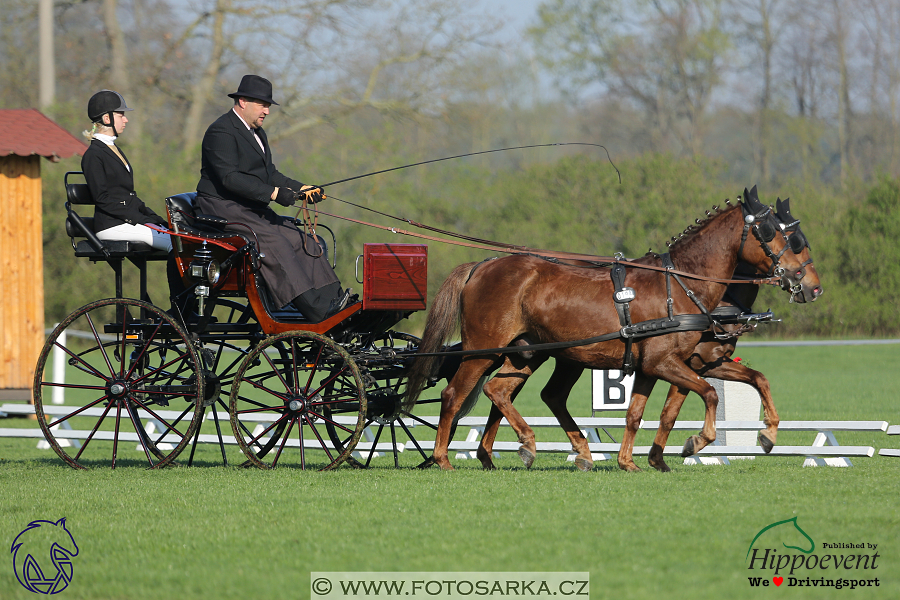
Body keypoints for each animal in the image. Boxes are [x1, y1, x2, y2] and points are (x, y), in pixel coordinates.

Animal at [408, 186, 824, 468]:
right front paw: (693, 443)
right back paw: (445, 457)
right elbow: (707, 395)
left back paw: (528, 449)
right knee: (455, 395)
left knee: (503, 392)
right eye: (776, 234)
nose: (811, 286)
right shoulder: (666, 363)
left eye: (797, 237)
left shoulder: (678, 363)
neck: (683, 284)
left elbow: (655, 410)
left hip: (528, 353)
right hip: (485, 350)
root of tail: (482, 265)